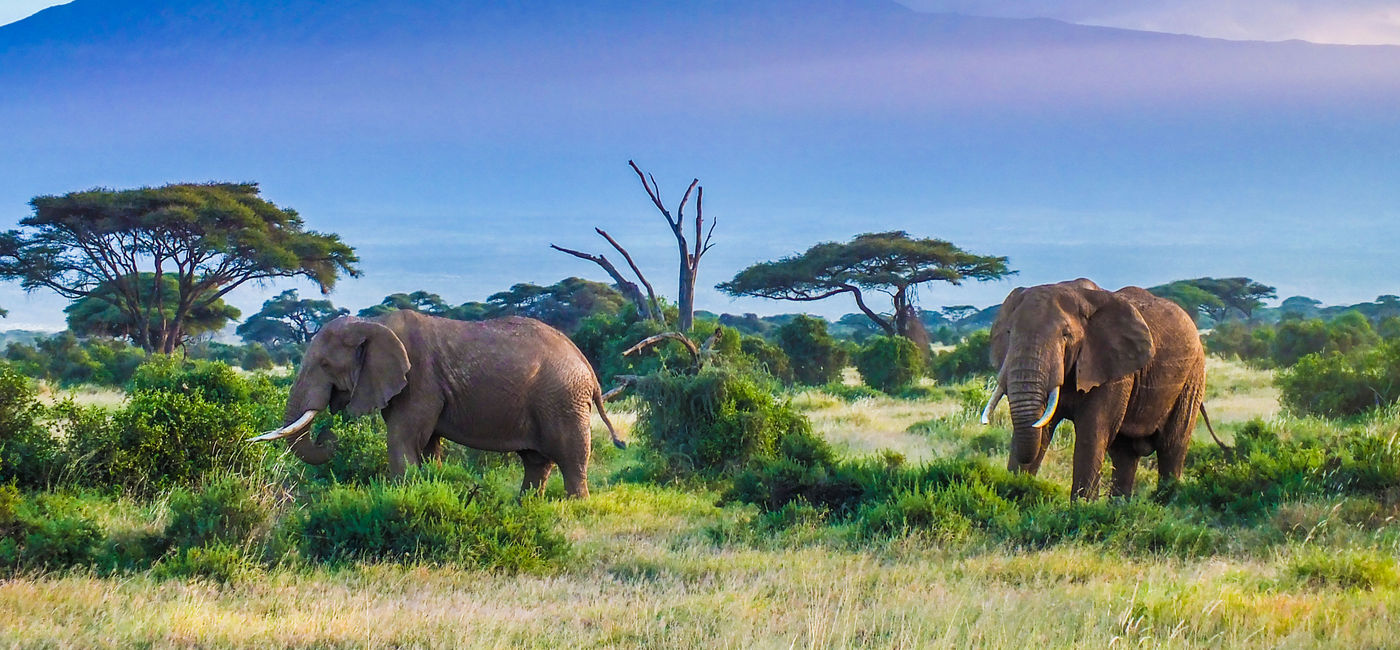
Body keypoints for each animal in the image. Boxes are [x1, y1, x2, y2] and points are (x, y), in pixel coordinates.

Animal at [249, 310, 625, 497]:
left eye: (325, 365)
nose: (329, 436)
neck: (374, 324)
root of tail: (588, 367)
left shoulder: (419, 380)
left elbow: (403, 438)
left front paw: (401, 497)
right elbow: (427, 444)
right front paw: (429, 485)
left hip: (562, 399)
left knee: (570, 456)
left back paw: (575, 505)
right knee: (535, 461)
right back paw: (527, 505)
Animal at [980, 278, 1214, 499]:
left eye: (1065, 335)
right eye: (1009, 332)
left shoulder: (1113, 368)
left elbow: (1092, 431)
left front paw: (1081, 509)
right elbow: (1042, 428)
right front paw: (1015, 495)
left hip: (1193, 377)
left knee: (1171, 447)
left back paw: (1164, 502)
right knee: (1124, 453)